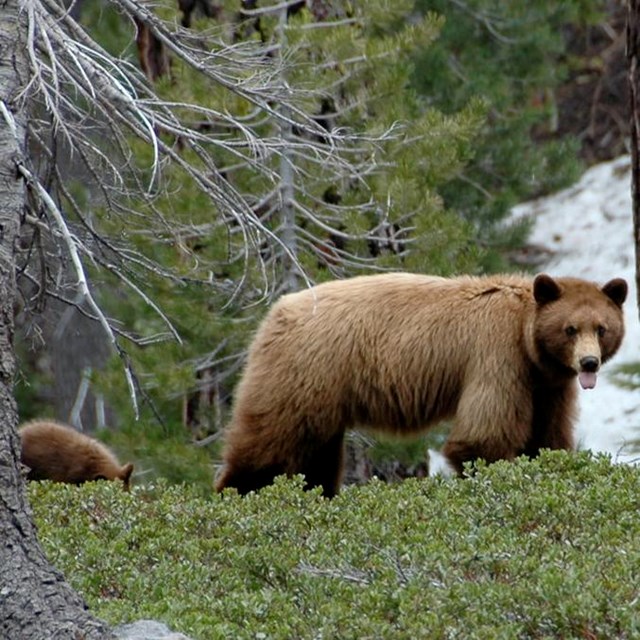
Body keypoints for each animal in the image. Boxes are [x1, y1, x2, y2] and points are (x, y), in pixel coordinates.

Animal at [215, 272, 624, 498]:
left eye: (601, 328)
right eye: (570, 329)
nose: (588, 363)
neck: (529, 343)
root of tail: (274, 313)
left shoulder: (546, 387)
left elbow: (547, 438)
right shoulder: (497, 358)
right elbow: (483, 436)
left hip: (321, 397)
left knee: (317, 457)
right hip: (304, 373)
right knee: (269, 443)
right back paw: (234, 493)